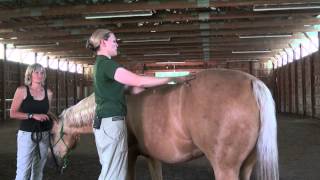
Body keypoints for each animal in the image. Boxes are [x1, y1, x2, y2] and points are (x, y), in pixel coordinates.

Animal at [48, 69, 278, 180]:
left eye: (50, 134)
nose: (56, 161)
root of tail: (251, 81)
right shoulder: (152, 157)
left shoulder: (129, 155)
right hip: (247, 165)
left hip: (225, 168)